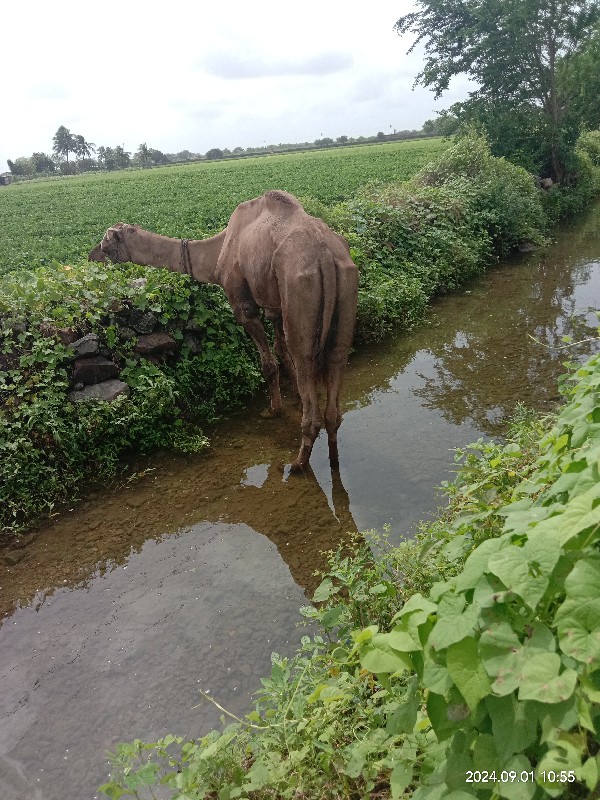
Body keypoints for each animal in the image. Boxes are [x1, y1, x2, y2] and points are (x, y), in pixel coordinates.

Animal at [90, 191, 356, 472]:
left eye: (106, 241)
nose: (91, 256)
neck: (216, 251)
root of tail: (325, 255)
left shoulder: (241, 302)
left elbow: (268, 363)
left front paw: (274, 410)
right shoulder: (274, 302)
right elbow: (281, 351)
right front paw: (294, 395)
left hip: (299, 285)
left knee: (304, 358)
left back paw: (298, 463)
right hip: (346, 281)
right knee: (335, 362)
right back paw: (333, 459)